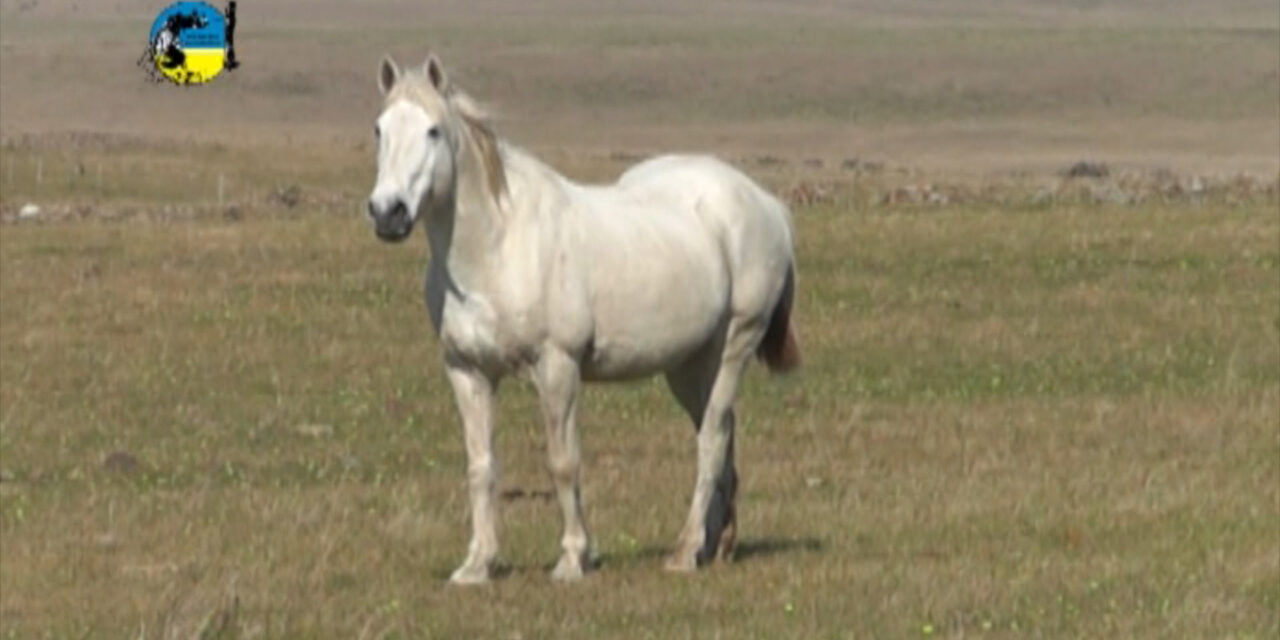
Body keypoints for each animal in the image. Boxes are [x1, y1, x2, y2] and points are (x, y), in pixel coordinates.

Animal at [366, 54, 800, 584]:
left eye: (433, 131)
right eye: (379, 129)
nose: (387, 213)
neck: (497, 247)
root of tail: (767, 203)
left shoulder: (557, 367)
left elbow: (563, 462)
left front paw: (573, 558)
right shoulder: (467, 371)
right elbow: (481, 465)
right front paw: (477, 564)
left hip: (733, 348)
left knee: (712, 441)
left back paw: (683, 552)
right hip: (689, 366)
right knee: (722, 436)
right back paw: (715, 545)